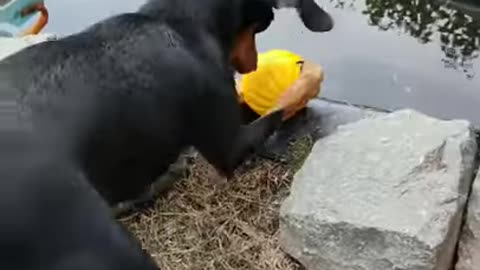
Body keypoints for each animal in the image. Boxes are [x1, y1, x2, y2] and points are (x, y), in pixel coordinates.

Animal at [0, 0, 334, 208]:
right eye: (262, 25)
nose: (252, 66)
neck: (177, 22)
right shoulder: (230, 147)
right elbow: (281, 105)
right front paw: (308, 80)